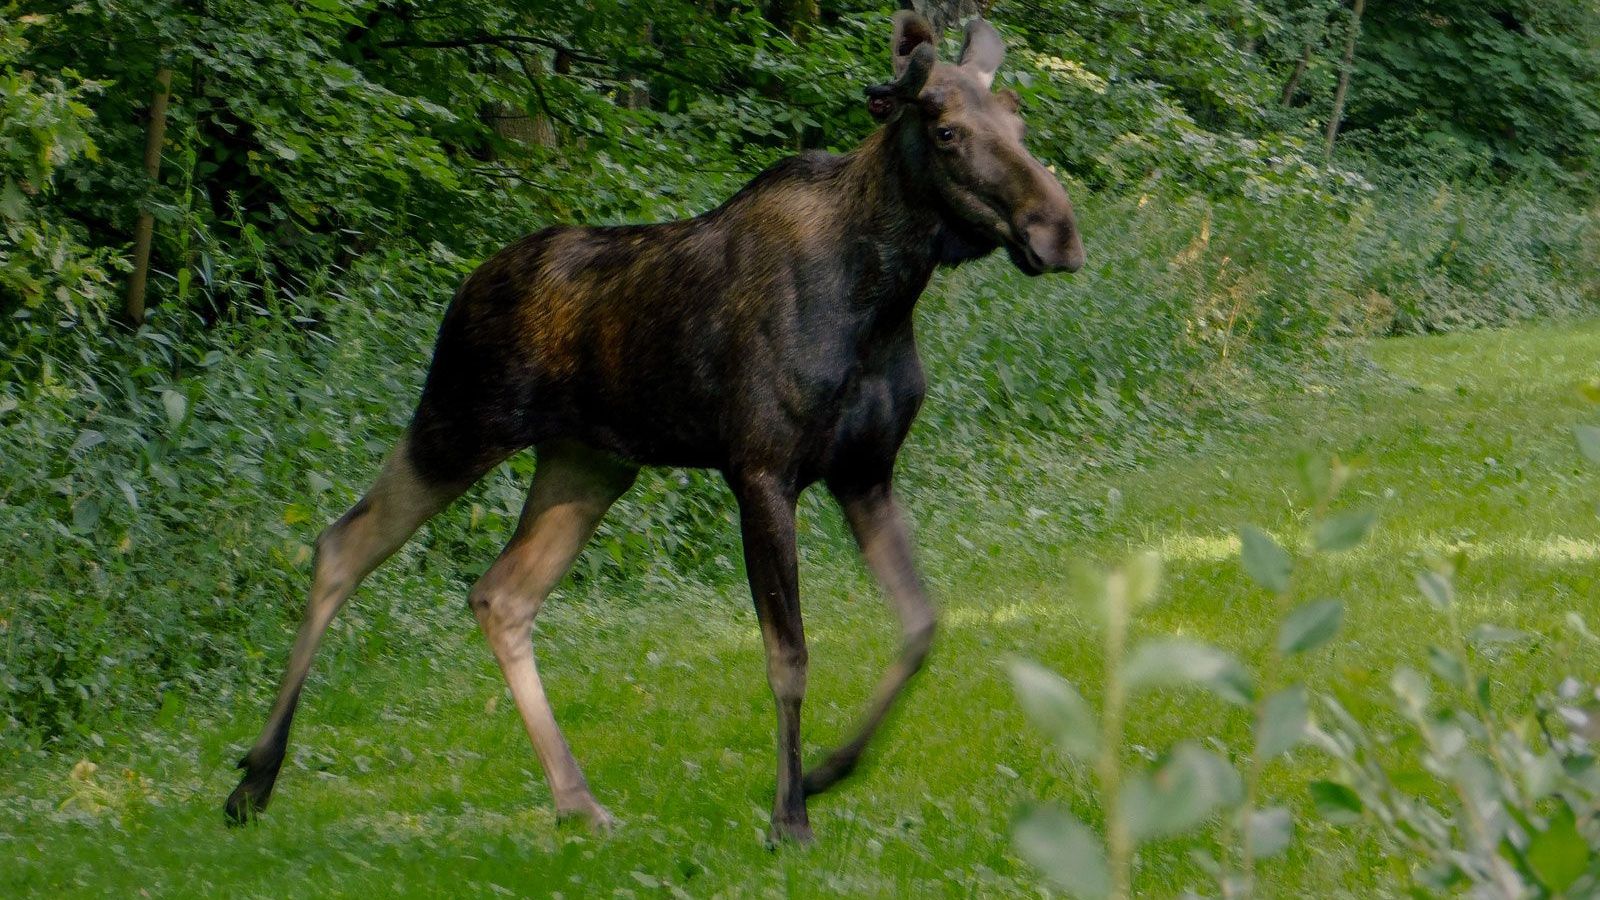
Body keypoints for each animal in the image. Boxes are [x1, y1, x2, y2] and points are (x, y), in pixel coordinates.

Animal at [225, 11, 1083, 843]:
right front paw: (789, 816)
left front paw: (824, 773)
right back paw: (254, 779)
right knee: (343, 545)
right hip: (459, 423)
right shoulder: (761, 471)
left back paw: (577, 801)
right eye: (946, 131)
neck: (886, 292)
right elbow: (789, 655)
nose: (1059, 232)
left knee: (501, 594)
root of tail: (464, 286)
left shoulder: (866, 471)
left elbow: (921, 626)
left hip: (587, 464)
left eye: (1019, 116)